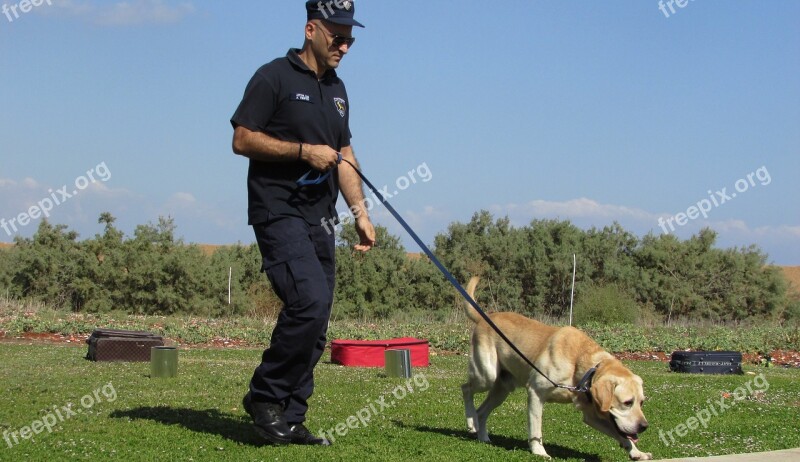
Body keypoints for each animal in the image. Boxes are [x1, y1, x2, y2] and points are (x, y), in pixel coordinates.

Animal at [462, 276, 648, 460]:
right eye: (627, 402)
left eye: (642, 402)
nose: (644, 426)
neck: (580, 364)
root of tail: (485, 317)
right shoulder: (536, 393)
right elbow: (536, 428)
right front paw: (539, 451)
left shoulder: (591, 414)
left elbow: (621, 435)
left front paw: (637, 452)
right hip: (487, 375)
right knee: (466, 388)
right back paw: (471, 421)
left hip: (502, 388)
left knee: (481, 411)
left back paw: (482, 436)